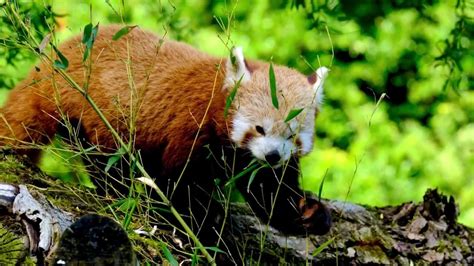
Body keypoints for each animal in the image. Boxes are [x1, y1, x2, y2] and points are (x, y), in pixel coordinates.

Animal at [0, 26, 332, 246]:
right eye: (260, 128)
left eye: (292, 136)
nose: (272, 156)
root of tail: (55, 64)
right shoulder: (191, 129)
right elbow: (179, 186)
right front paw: (208, 227)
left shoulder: (255, 163)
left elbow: (269, 192)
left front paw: (309, 213)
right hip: (96, 115)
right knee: (109, 164)